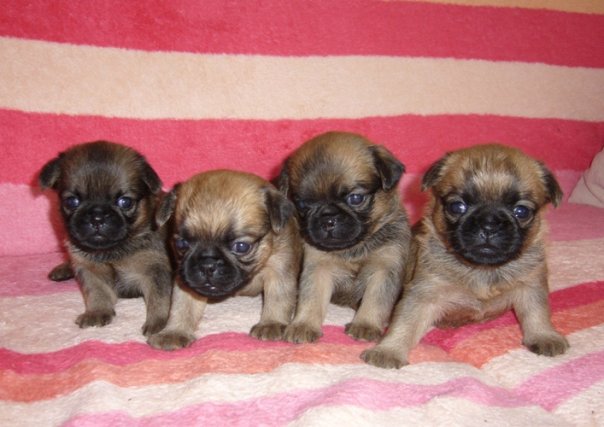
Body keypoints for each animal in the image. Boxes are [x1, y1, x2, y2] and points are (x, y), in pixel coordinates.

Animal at [39, 141, 172, 336]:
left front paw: (159, 323)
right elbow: (97, 292)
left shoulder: (156, 270)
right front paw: (97, 312)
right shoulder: (89, 269)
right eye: (72, 202)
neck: (112, 251)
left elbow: (159, 299)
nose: (97, 216)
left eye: (125, 202)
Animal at [147, 170, 301, 350]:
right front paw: (174, 332)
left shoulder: (279, 270)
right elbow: (182, 306)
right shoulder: (186, 280)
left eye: (241, 247)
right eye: (182, 244)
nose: (207, 264)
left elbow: (278, 299)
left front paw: (271, 323)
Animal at [278, 131, 412, 343]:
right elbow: (311, 298)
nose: (328, 219)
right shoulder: (318, 268)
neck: (354, 249)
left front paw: (365, 324)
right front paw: (303, 325)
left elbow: (376, 300)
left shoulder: (384, 269)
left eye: (355, 198)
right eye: (303, 205)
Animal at [362, 143, 569, 369]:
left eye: (521, 211)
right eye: (457, 206)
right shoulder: (424, 294)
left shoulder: (531, 286)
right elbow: (405, 323)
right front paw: (389, 350)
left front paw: (544, 335)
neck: (483, 270)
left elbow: (537, 313)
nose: (489, 224)